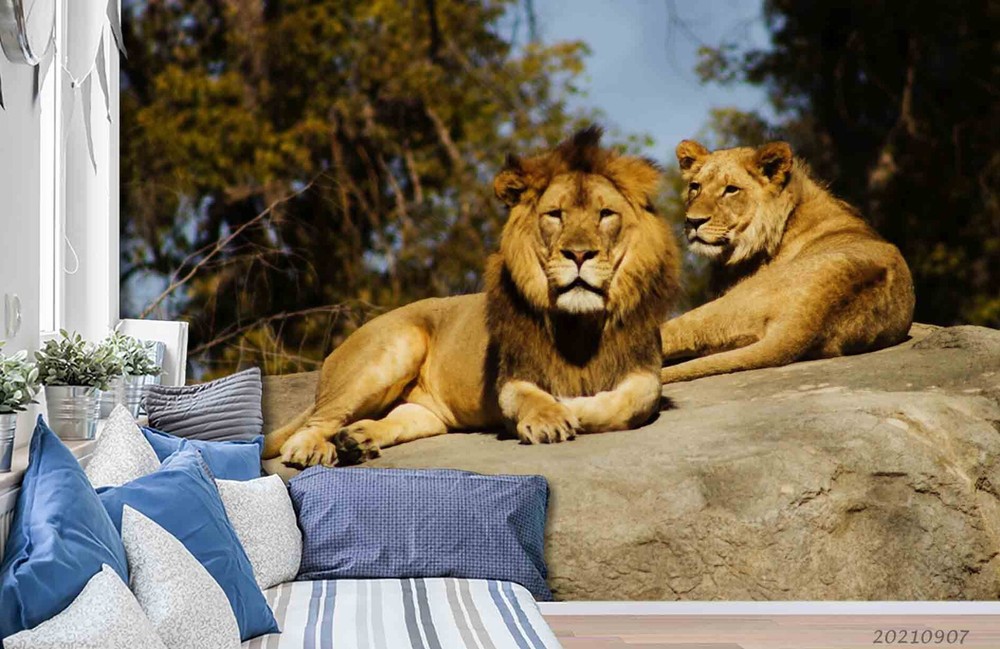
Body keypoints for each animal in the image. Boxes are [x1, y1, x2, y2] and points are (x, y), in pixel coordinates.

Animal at [264, 127, 680, 468]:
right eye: (555, 215)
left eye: (605, 214)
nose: (578, 254)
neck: (580, 322)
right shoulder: (513, 376)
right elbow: (530, 397)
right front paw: (551, 416)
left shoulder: (643, 369)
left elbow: (631, 402)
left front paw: (571, 406)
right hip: (391, 350)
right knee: (314, 423)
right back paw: (312, 448)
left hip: (423, 414)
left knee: (392, 419)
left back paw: (356, 440)